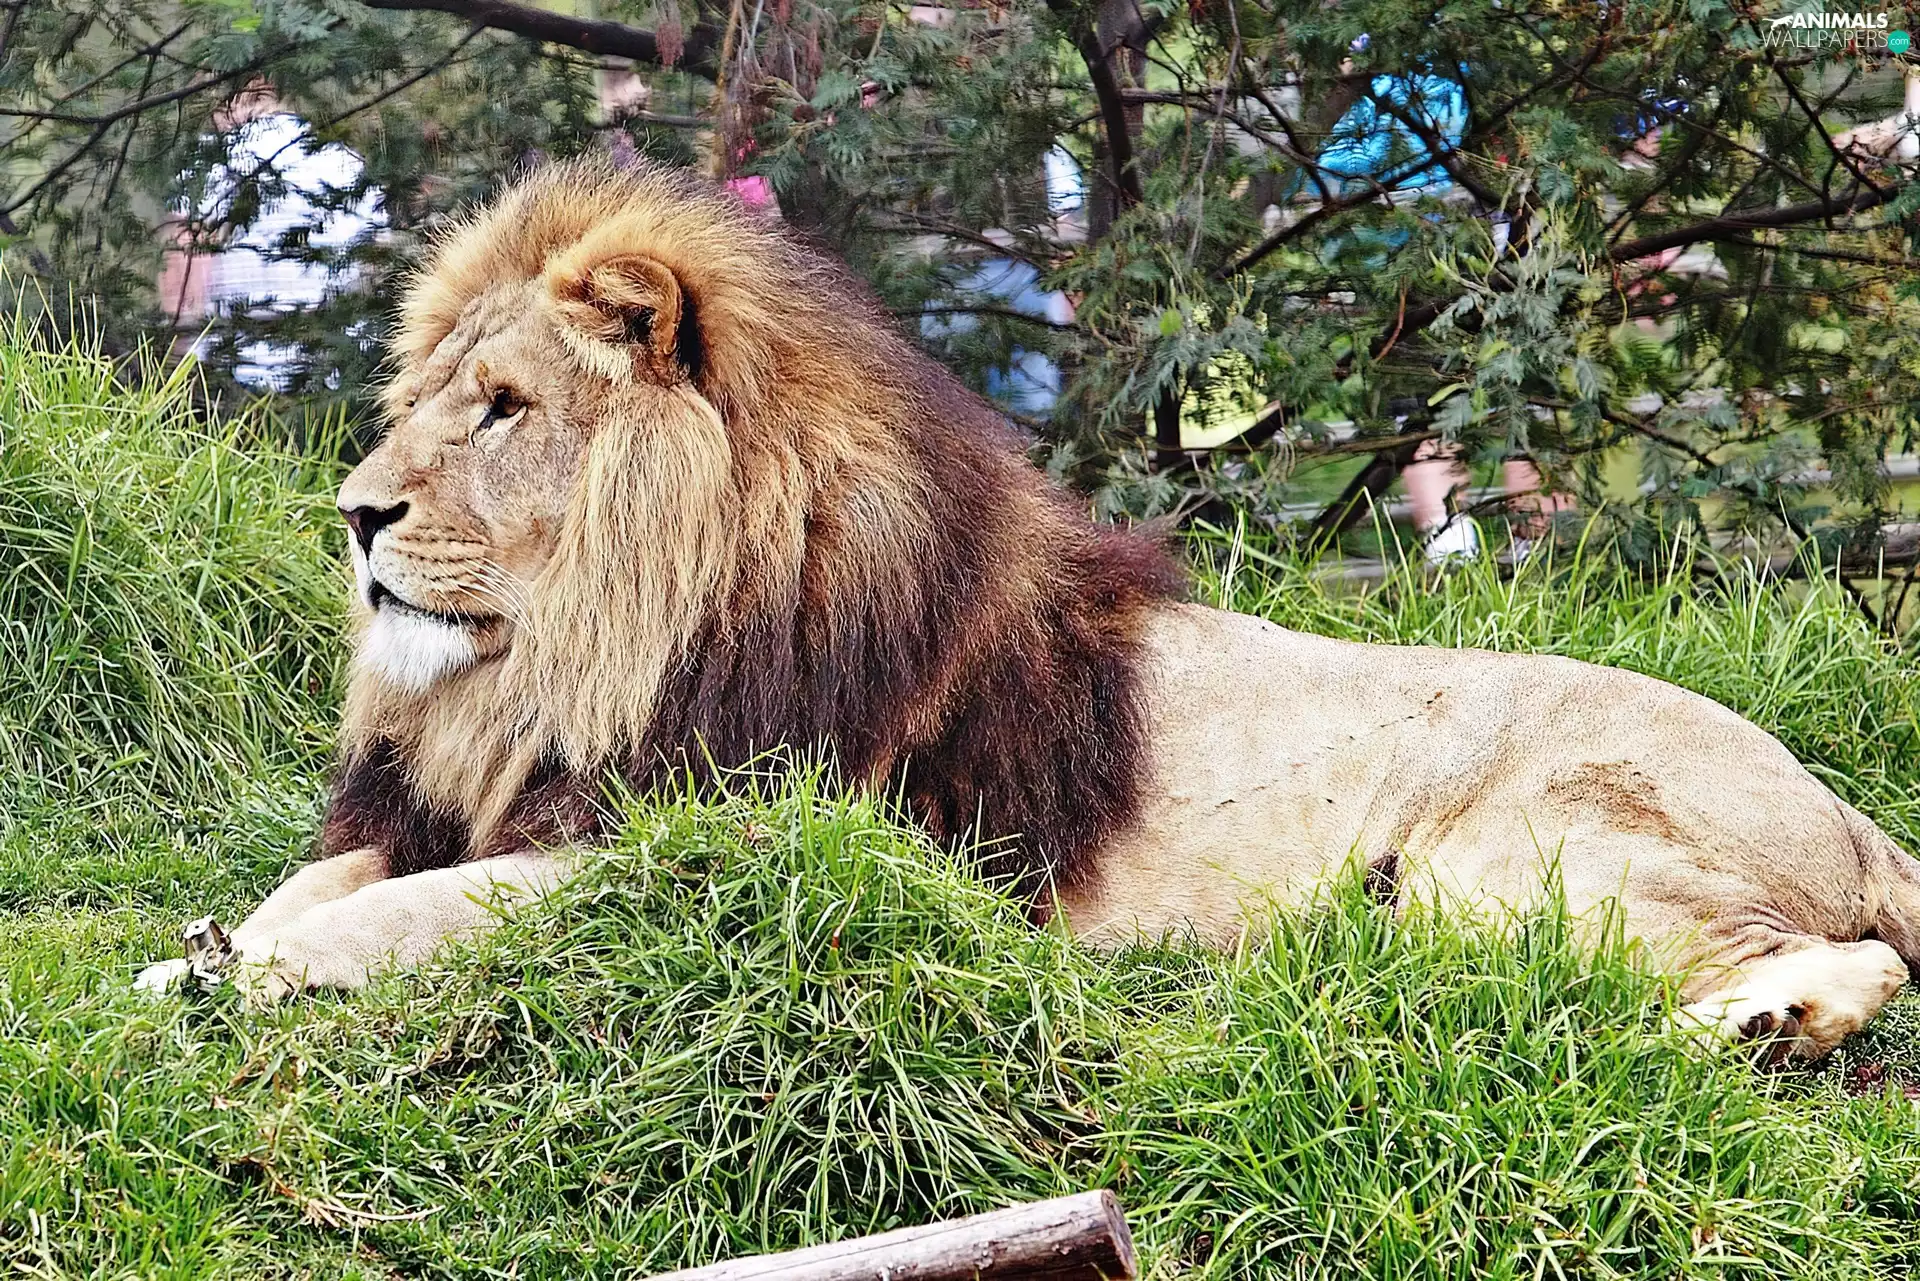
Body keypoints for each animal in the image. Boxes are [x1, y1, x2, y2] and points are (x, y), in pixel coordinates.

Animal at [135, 159, 1920, 1061]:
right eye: (421, 403)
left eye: (502, 409)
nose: (354, 514)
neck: (572, 665)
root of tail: (1840, 801)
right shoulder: (489, 799)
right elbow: (329, 875)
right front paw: (214, 944)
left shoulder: (706, 841)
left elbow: (410, 917)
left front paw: (245, 974)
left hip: (1515, 860)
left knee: (1846, 959)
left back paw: (1770, 1021)